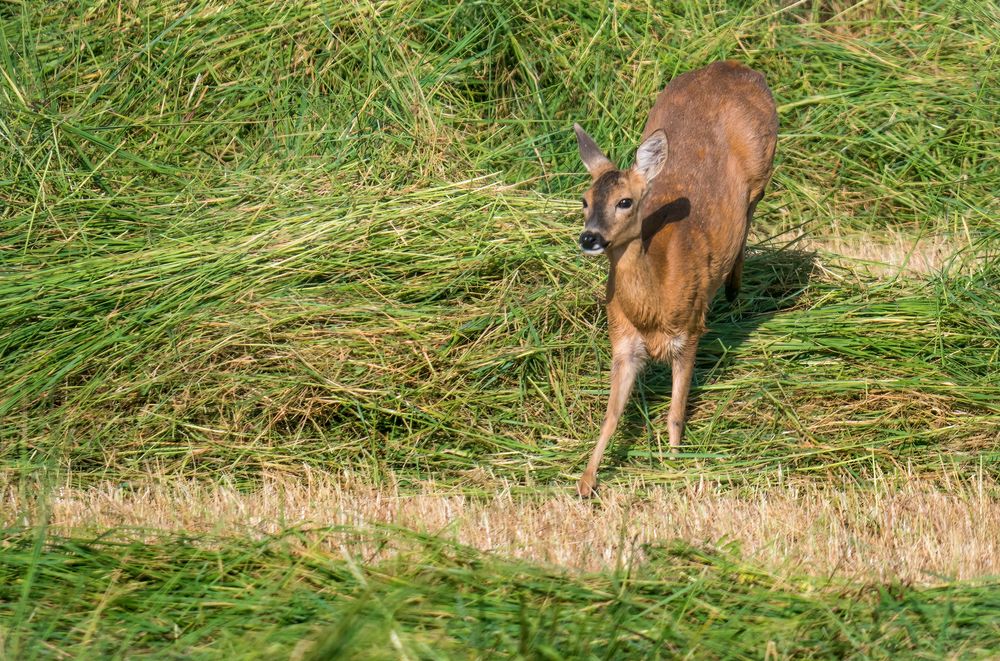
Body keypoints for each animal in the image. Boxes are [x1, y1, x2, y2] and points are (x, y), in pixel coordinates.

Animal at [576, 60, 776, 496]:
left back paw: (734, 288)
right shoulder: (622, 341)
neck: (655, 305)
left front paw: (673, 466)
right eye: (584, 200)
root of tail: (737, 65)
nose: (589, 237)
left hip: (763, 167)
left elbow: (675, 413)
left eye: (625, 201)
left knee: (750, 213)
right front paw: (585, 481)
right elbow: (610, 415)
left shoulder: (690, 331)